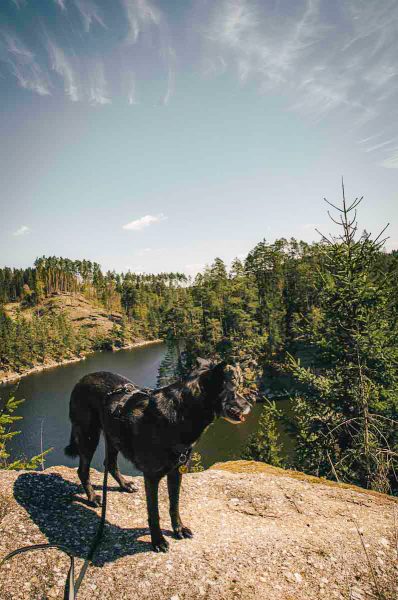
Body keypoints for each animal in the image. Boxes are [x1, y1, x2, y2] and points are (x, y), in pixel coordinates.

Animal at [65, 358, 252, 552]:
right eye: (234, 390)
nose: (250, 405)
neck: (180, 414)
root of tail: (83, 379)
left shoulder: (176, 472)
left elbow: (174, 505)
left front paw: (179, 529)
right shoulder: (151, 477)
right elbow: (154, 513)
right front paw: (158, 540)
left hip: (113, 436)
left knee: (109, 463)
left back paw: (125, 485)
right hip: (89, 435)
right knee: (82, 470)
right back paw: (93, 497)